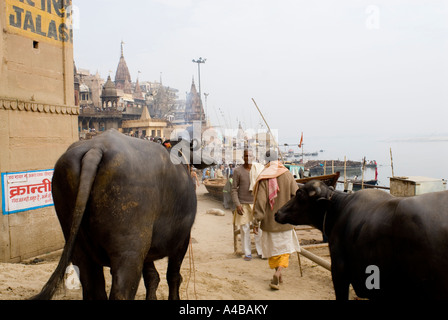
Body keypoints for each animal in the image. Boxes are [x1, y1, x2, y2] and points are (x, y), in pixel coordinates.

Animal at [32, 129, 214, 298]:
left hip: (78, 246)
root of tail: (96, 148)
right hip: (129, 252)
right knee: (121, 291)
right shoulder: (182, 239)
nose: (208, 159)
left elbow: (152, 277)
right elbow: (173, 276)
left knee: (92, 287)